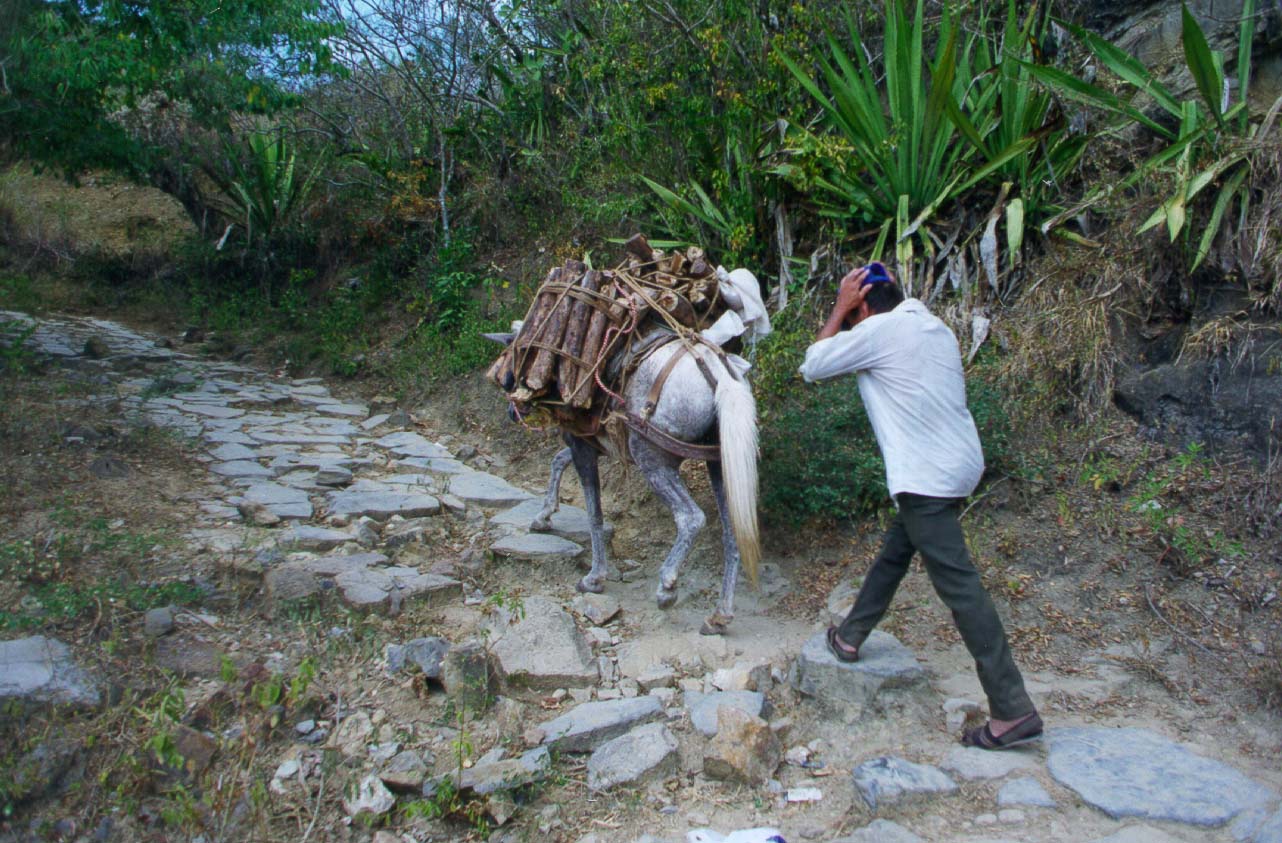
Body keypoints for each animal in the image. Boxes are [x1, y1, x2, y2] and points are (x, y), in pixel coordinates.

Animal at [484, 325, 753, 632]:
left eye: (512, 358)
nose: (512, 412)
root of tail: (719, 376)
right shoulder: (589, 444)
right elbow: (558, 460)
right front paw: (544, 516)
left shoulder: (582, 446)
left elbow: (594, 514)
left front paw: (594, 578)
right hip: (720, 464)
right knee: (734, 531)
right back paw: (720, 614)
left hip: (652, 458)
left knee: (691, 517)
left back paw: (667, 587)